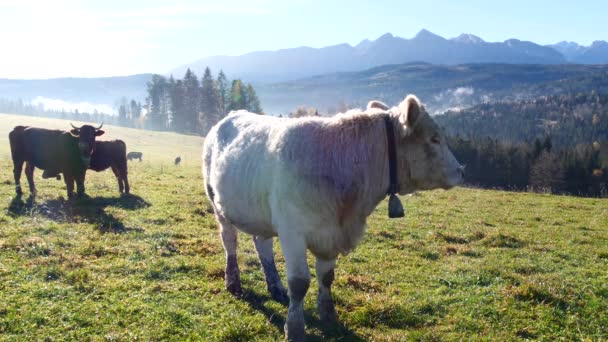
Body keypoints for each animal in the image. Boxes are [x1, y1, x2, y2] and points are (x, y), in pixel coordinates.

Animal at [204, 95, 466, 340]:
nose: (461, 171)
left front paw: (328, 315)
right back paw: (233, 281)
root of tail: (230, 115)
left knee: (263, 244)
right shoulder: (292, 232)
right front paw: (295, 328)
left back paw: (275, 286)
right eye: (434, 139)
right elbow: (299, 283)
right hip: (217, 204)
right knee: (230, 242)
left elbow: (327, 277)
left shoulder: (331, 235)